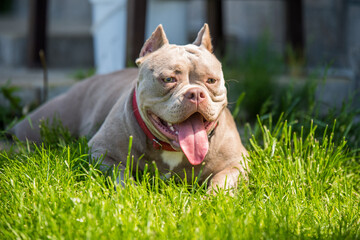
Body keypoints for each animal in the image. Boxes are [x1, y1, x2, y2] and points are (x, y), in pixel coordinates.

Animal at [11, 23, 248, 193]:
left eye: (211, 80)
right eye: (168, 79)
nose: (196, 93)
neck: (172, 150)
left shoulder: (238, 162)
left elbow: (222, 181)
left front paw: (213, 200)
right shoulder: (102, 152)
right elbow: (121, 174)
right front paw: (133, 192)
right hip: (46, 121)